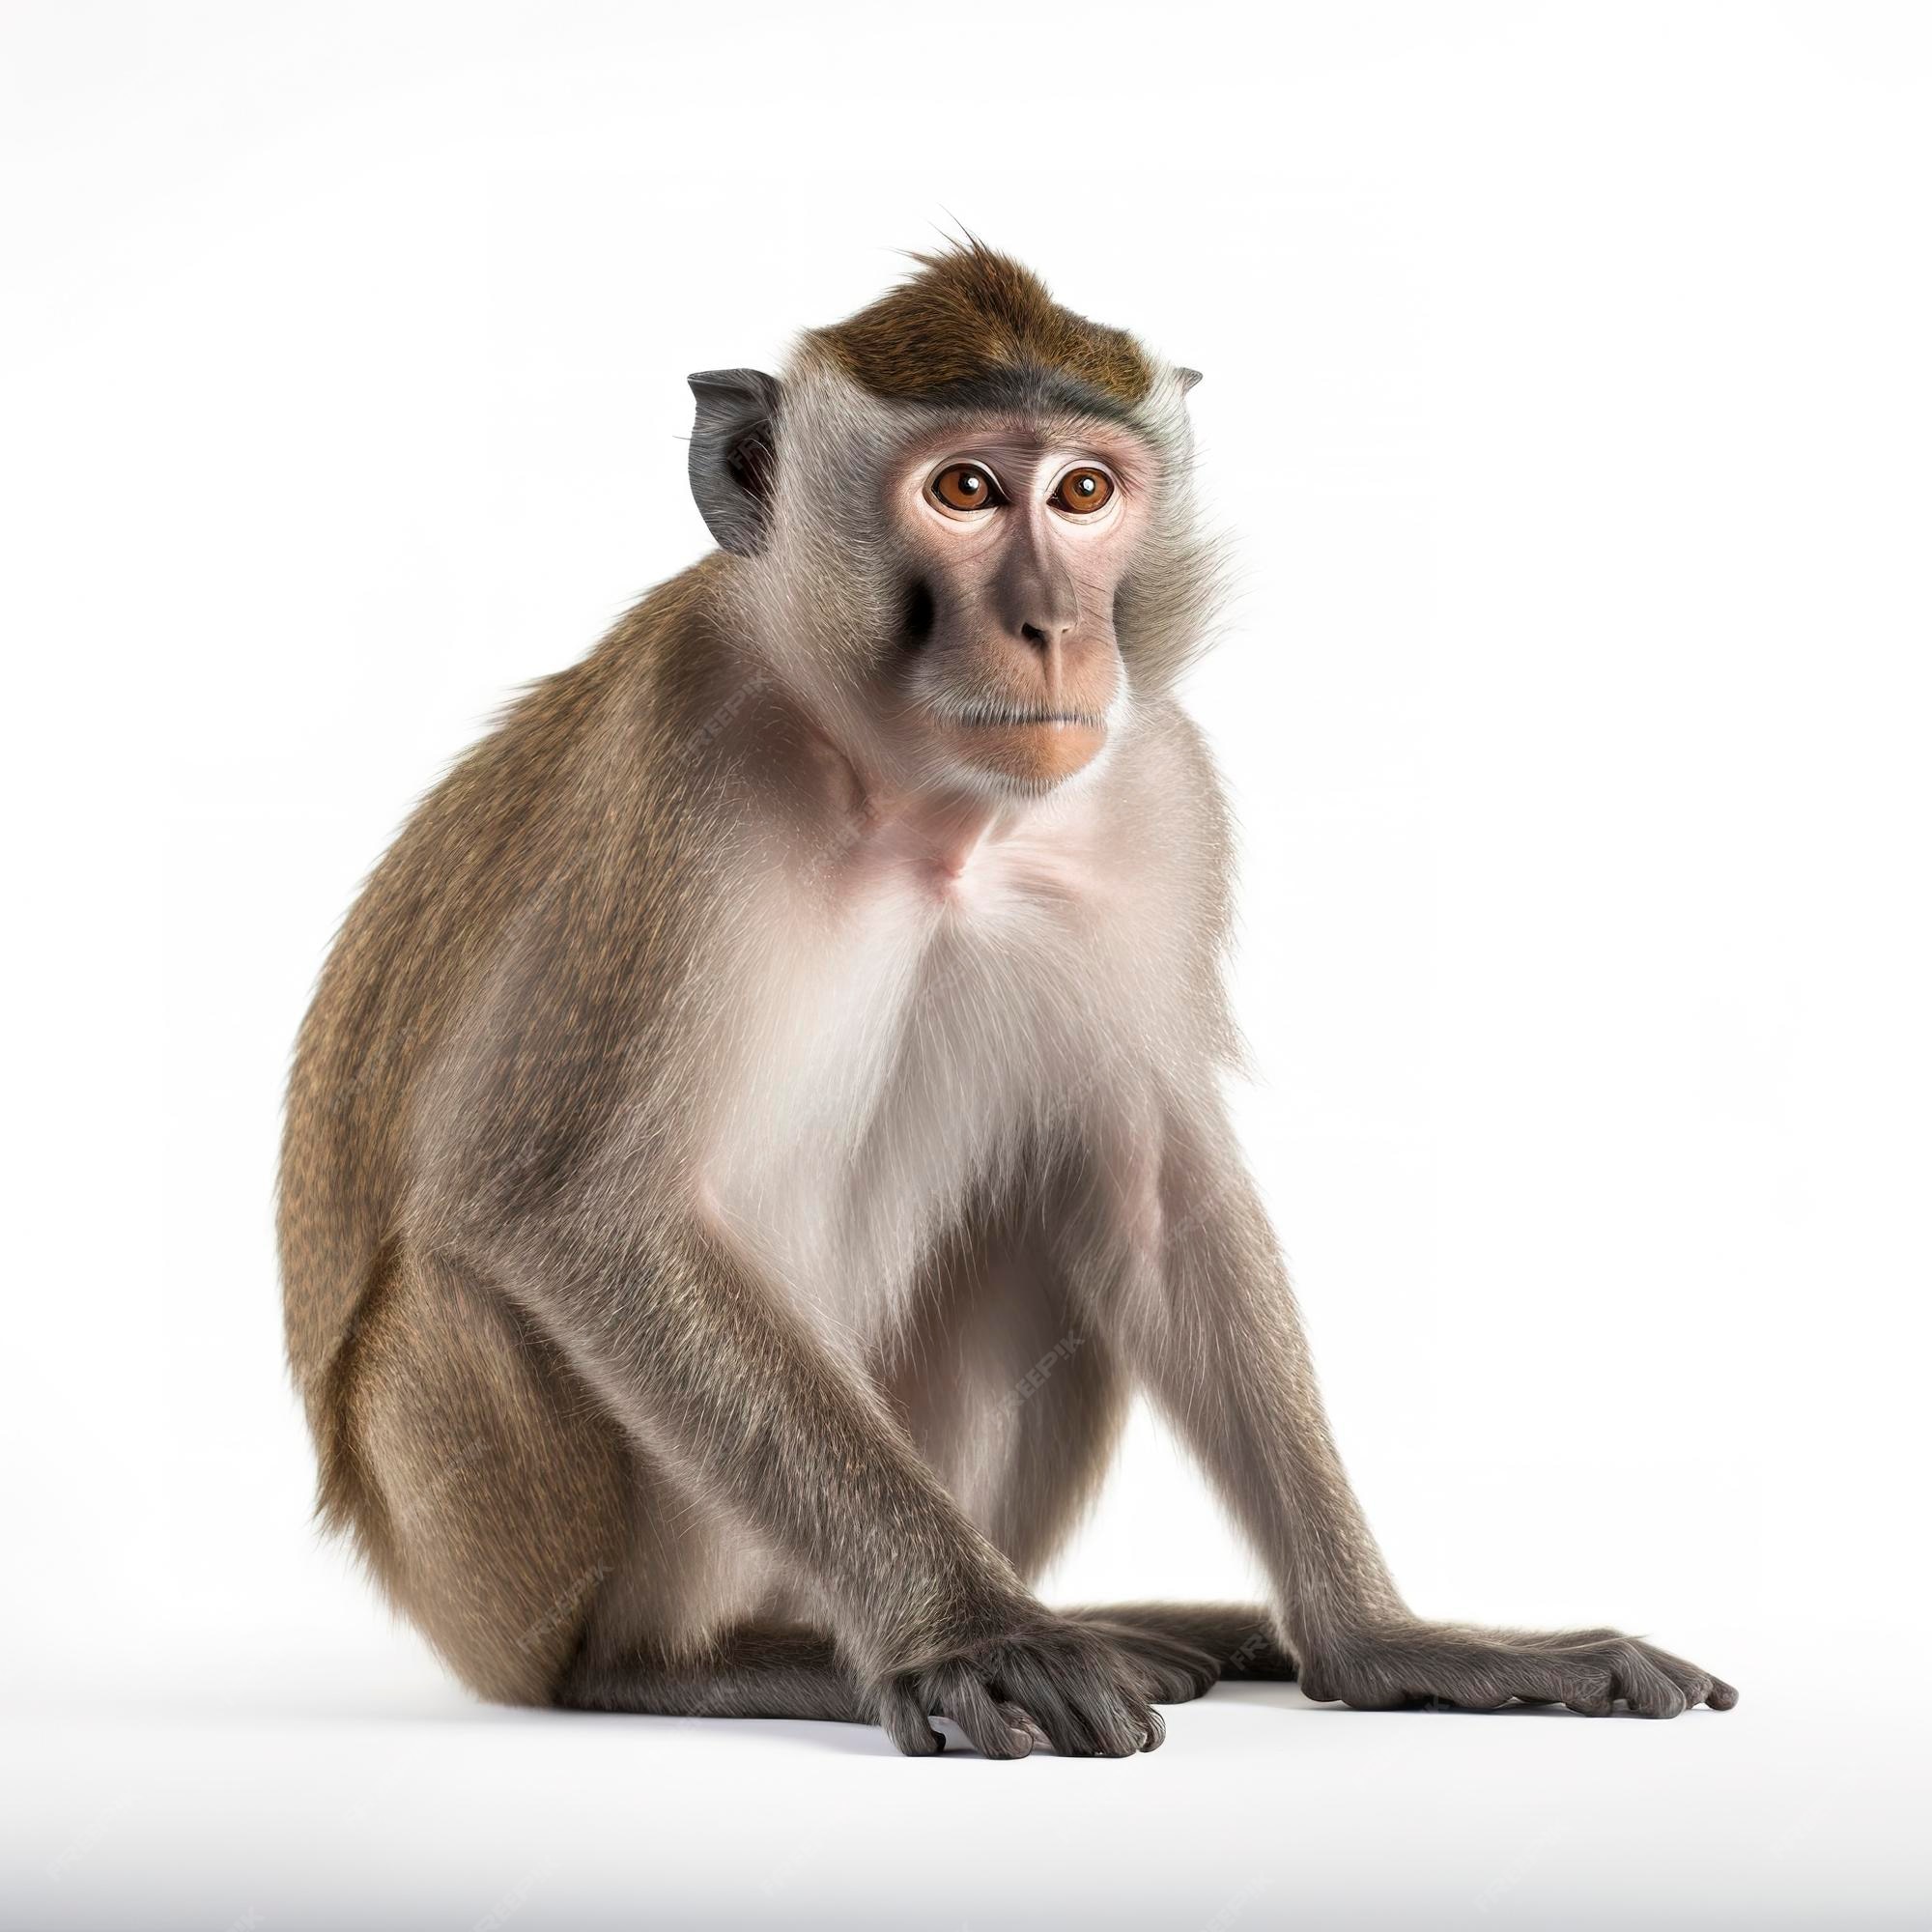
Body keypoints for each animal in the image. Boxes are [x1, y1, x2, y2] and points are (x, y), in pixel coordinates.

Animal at [282, 242, 1739, 1754]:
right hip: (496, 1557)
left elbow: (1153, 1186)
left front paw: (1387, 1640)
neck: (920, 806)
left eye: (1084, 493)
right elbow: (567, 1210)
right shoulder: (678, 770)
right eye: (965, 490)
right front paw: (973, 1633)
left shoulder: (1156, 791)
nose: (1050, 628)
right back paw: (700, 1663)